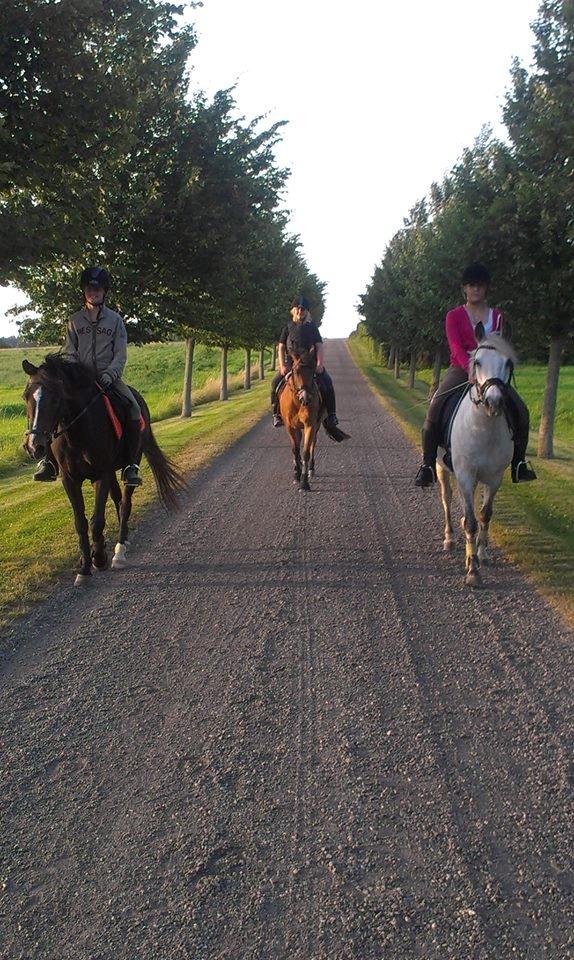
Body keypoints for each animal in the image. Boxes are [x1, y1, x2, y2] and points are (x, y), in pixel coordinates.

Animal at [24, 354, 187, 584]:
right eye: (26, 397)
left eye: (55, 397)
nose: (34, 446)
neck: (77, 433)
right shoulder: (70, 479)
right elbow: (81, 523)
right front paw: (85, 566)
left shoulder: (100, 475)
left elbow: (97, 520)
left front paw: (99, 558)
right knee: (118, 500)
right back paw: (121, 541)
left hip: (128, 464)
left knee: (125, 503)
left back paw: (119, 551)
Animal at [440, 328, 516, 584]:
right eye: (477, 362)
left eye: (508, 363)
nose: (494, 401)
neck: (483, 427)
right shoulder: (464, 474)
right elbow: (472, 523)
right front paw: (473, 572)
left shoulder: (494, 478)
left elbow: (484, 515)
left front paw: (481, 555)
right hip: (442, 468)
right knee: (446, 498)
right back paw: (449, 538)